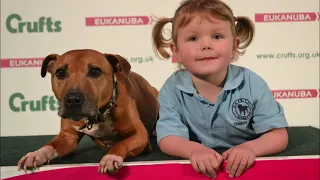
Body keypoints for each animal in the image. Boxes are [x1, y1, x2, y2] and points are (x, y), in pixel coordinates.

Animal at [16, 49, 159, 174]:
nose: (73, 99)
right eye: (60, 73)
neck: (98, 116)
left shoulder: (140, 134)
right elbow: (50, 146)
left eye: (95, 71)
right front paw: (35, 154)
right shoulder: (68, 137)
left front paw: (110, 158)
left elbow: (120, 144)